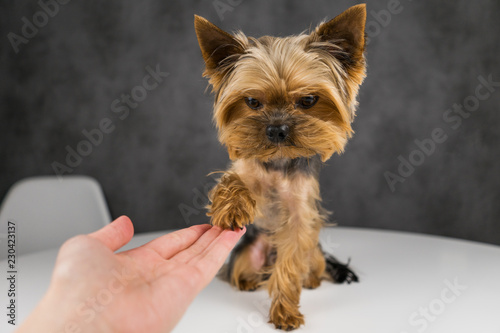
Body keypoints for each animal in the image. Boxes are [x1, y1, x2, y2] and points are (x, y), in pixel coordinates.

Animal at [195, 4, 368, 330]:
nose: (277, 129)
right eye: (252, 101)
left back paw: (310, 280)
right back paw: (249, 282)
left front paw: (285, 312)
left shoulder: (300, 215)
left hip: (314, 252)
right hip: (245, 256)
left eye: (308, 100)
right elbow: (232, 181)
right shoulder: (245, 169)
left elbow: (290, 265)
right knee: (246, 271)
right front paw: (232, 208)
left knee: (309, 265)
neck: (278, 161)